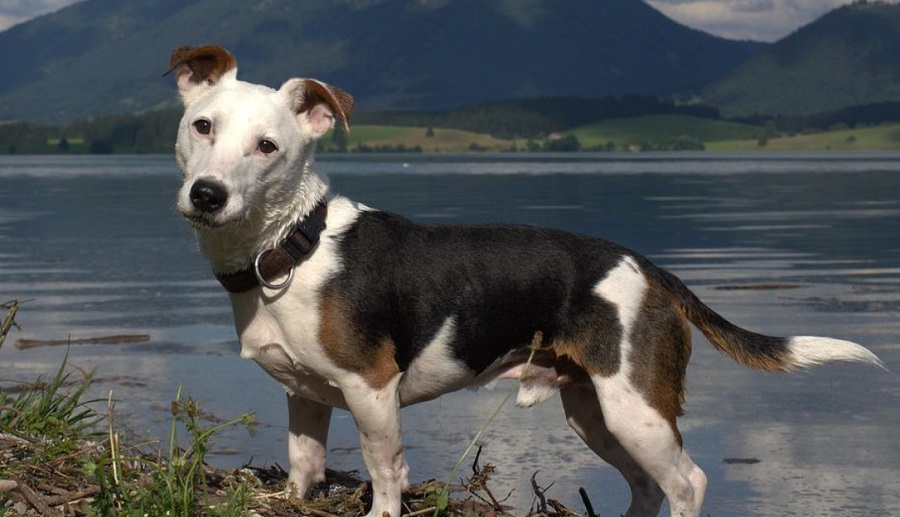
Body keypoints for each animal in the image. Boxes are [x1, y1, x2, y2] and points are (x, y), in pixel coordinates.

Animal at [165, 45, 884, 516]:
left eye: (268, 147)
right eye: (202, 127)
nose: (208, 194)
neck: (290, 248)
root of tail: (650, 268)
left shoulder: (372, 390)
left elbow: (386, 472)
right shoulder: (306, 396)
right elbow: (305, 465)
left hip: (636, 408)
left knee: (687, 483)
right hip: (594, 412)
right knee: (647, 487)